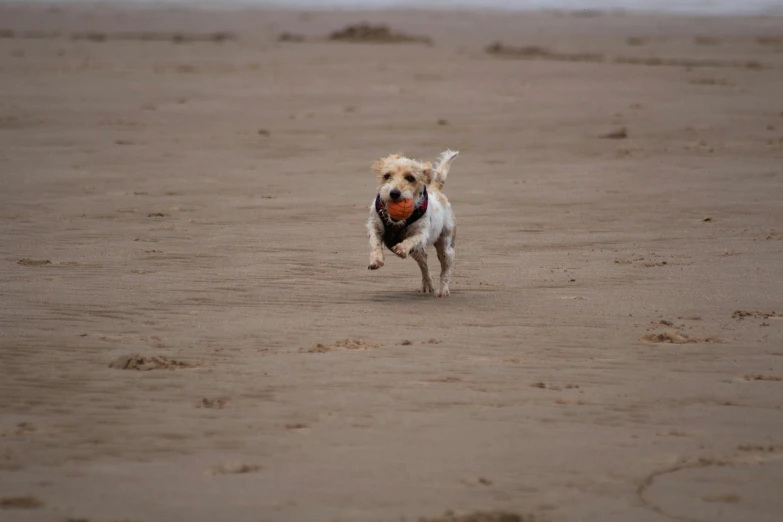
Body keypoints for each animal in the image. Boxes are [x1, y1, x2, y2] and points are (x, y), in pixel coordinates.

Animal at [368, 150, 460, 296]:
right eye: (387, 175)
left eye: (410, 178)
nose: (394, 193)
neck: (397, 222)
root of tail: (436, 190)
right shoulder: (374, 226)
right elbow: (375, 243)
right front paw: (376, 260)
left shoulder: (421, 233)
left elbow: (411, 239)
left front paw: (401, 248)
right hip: (419, 252)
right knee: (424, 265)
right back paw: (427, 284)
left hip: (447, 247)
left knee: (445, 270)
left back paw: (443, 290)